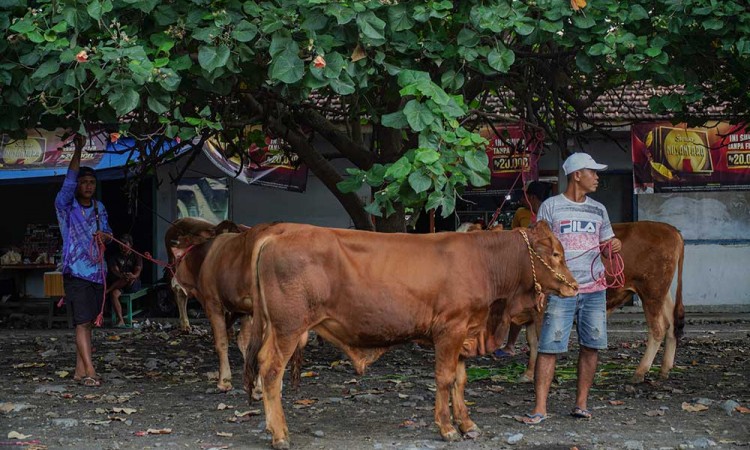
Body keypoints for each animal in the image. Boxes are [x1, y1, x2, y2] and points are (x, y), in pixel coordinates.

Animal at [244, 221, 580, 446]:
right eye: (555, 253)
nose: (575, 286)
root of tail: (281, 231)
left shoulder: (463, 333)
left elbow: (459, 380)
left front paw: (467, 424)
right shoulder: (450, 329)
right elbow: (444, 379)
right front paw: (447, 428)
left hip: (276, 327)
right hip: (288, 327)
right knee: (271, 370)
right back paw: (280, 434)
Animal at [502, 221, 684, 384]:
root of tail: (671, 229)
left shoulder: (543, 311)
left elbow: (539, 342)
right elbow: (532, 341)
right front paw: (528, 374)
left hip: (651, 292)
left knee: (658, 329)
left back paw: (640, 372)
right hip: (662, 293)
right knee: (671, 325)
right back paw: (664, 369)